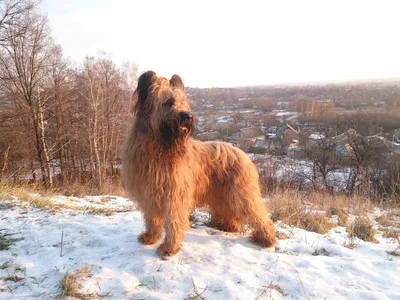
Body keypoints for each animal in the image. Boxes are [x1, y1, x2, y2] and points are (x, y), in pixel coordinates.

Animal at [121, 71, 276, 258]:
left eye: (184, 103)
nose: (188, 116)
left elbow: (173, 221)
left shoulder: (175, 195)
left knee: (258, 214)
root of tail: (241, 152)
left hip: (242, 193)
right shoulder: (148, 193)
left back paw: (267, 239)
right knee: (231, 215)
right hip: (221, 197)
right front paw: (150, 237)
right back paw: (230, 228)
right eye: (168, 102)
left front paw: (169, 248)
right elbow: (152, 219)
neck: (159, 148)